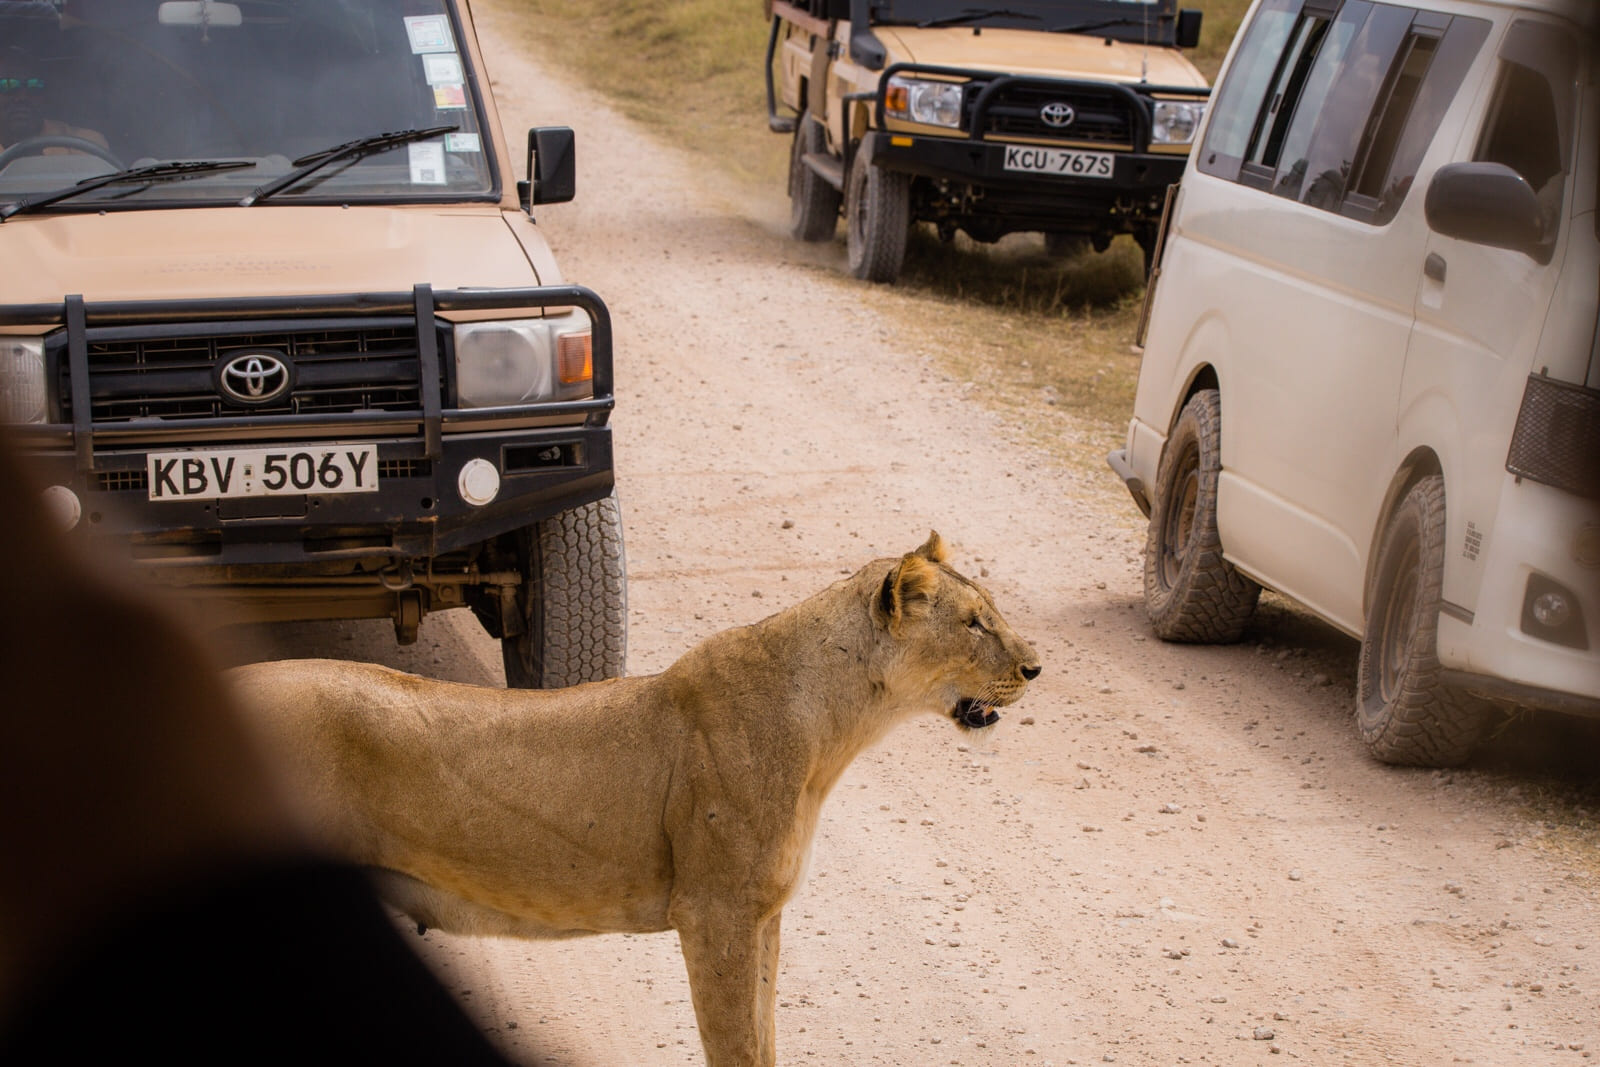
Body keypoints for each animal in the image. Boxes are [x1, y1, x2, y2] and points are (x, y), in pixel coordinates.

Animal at [227, 532, 1041, 1067]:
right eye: (973, 622)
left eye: (993, 610)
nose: (1036, 666)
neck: (833, 726)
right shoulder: (714, 912)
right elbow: (735, 1046)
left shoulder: (762, 914)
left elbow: (764, 1037)